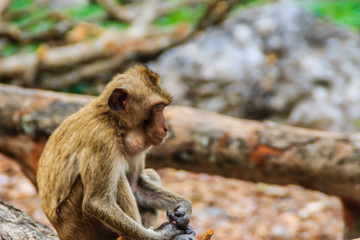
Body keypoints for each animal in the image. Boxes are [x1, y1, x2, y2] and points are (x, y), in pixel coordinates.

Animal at [37, 65, 195, 240]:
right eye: (158, 108)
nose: (165, 127)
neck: (114, 123)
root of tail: (61, 232)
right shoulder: (102, 140)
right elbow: (97, 203)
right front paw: (160, 236)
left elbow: (136, 185)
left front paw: (184, 208)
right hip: (76, 225)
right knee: (117, 180)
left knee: (148, 175)